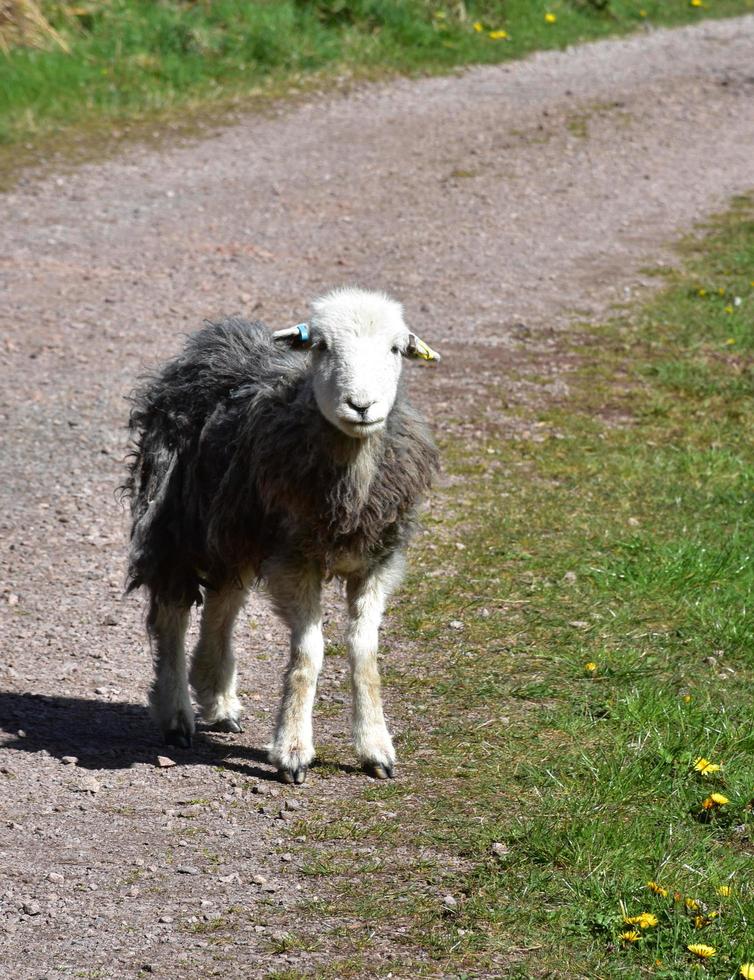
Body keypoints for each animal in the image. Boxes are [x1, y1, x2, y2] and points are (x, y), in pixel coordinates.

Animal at [125, 284, 440, 780]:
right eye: (321, 346)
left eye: (395, 349)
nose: (362, 405)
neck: (350, 487)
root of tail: (215, 339)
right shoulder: (295, 560)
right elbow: (309, 653)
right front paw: (292, 750)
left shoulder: (378, 562)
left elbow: (364, 651)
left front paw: (375, 747)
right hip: (176, 521)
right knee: (172, 616)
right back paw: (177, 714)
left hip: (236, 529)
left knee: (224, 601)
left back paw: (217, 697)